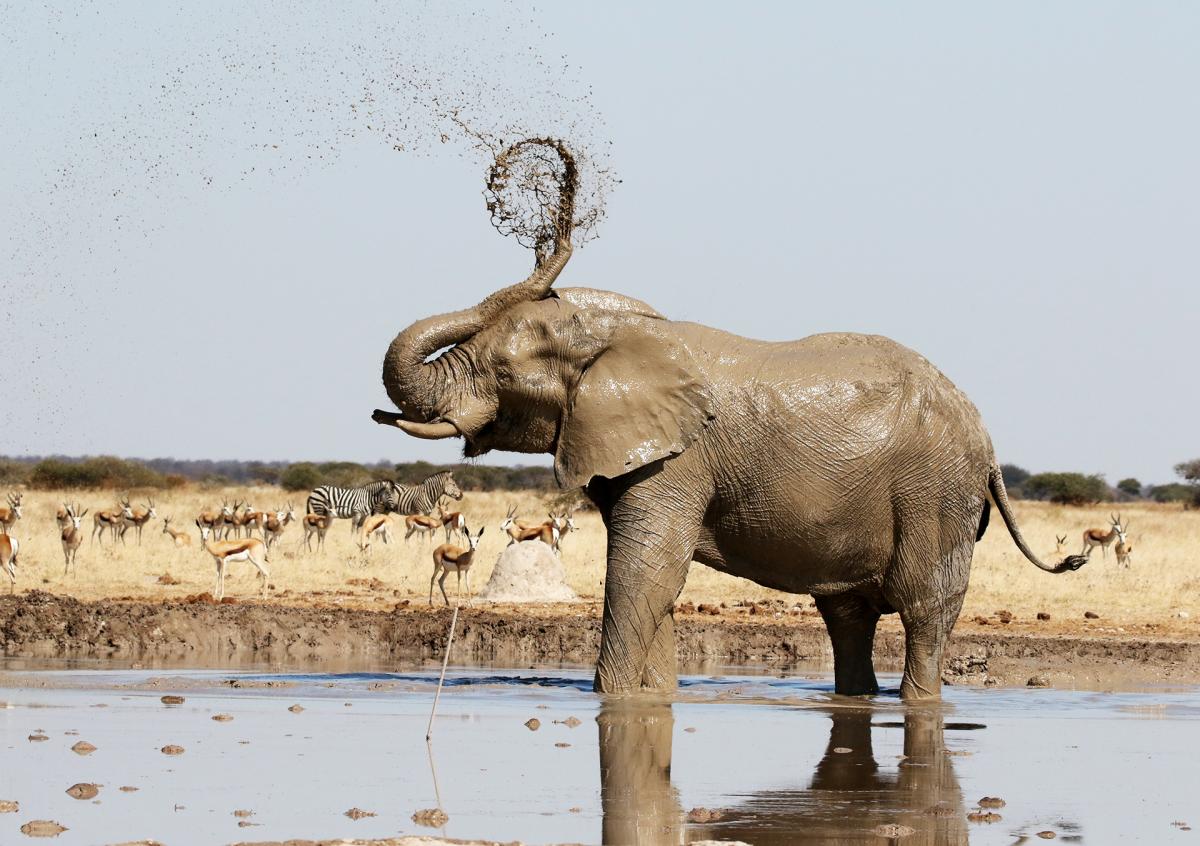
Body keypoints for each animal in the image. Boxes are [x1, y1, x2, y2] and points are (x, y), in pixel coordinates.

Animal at [376, 138, 1089, 700]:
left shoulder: (680, 459)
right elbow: (654, 584)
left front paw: (612, 698)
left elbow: (645, 573)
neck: (615, 330)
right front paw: (650, 699)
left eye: (503, 370)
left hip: (935, 494)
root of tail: (987, 439)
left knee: (924, 615)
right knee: (848, 618)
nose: (541, 180)